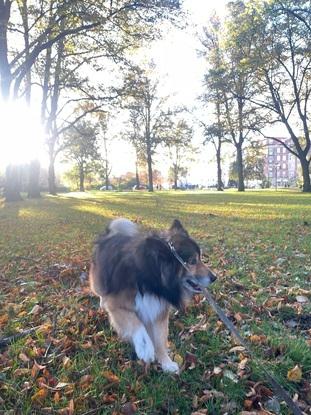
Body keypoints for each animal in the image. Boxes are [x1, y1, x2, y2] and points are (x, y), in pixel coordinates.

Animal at [89, 219, 217, 376]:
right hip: (99, 283)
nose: (214, 277)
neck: (151, 277)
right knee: (100, 293)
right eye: (193, 261)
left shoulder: (158, 310)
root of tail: (111, 234)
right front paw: (145, 347)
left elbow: (160, 340)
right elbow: (135, 322)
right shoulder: (117, 305)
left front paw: (166, 363)